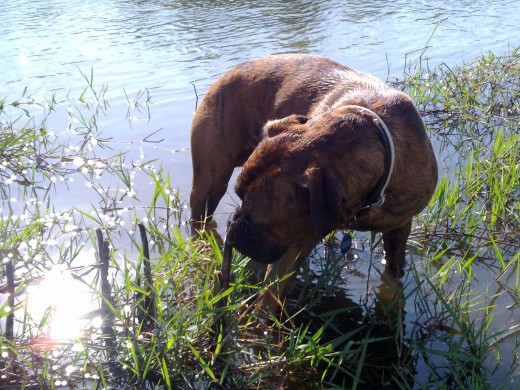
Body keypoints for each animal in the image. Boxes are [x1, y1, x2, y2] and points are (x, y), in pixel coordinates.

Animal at [189, 54, 436, 310]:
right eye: (239, 195)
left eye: (265, 220)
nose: (232, 226)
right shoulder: (298, 240)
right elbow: (272, 291)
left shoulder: (399, 225)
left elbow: (393, 272)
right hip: (210, 182)